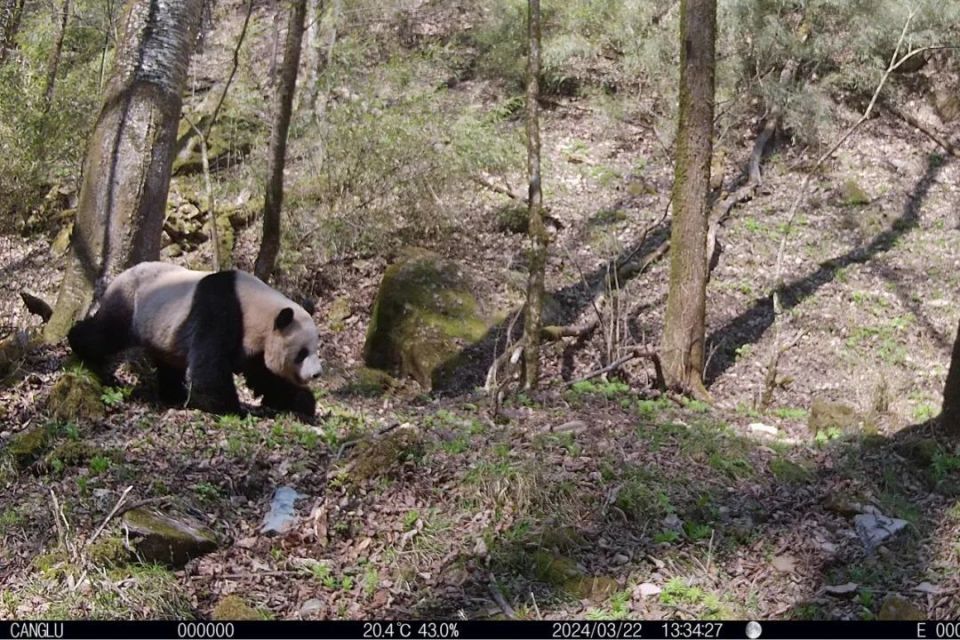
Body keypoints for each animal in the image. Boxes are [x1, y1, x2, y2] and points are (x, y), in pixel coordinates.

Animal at [67, 262, 322, 418]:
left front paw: (302, 402)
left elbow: (265, 375)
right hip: (131, 303)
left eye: (316, 349)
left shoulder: (256, 341)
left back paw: (174, 394)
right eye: (302, 353)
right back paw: (77, 343)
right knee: (107, 332)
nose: (316, 374)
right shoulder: (220, 311)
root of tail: (119, 276)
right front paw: (233, 409)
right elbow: (209, 368)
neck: (258, 309)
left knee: (169, 365)